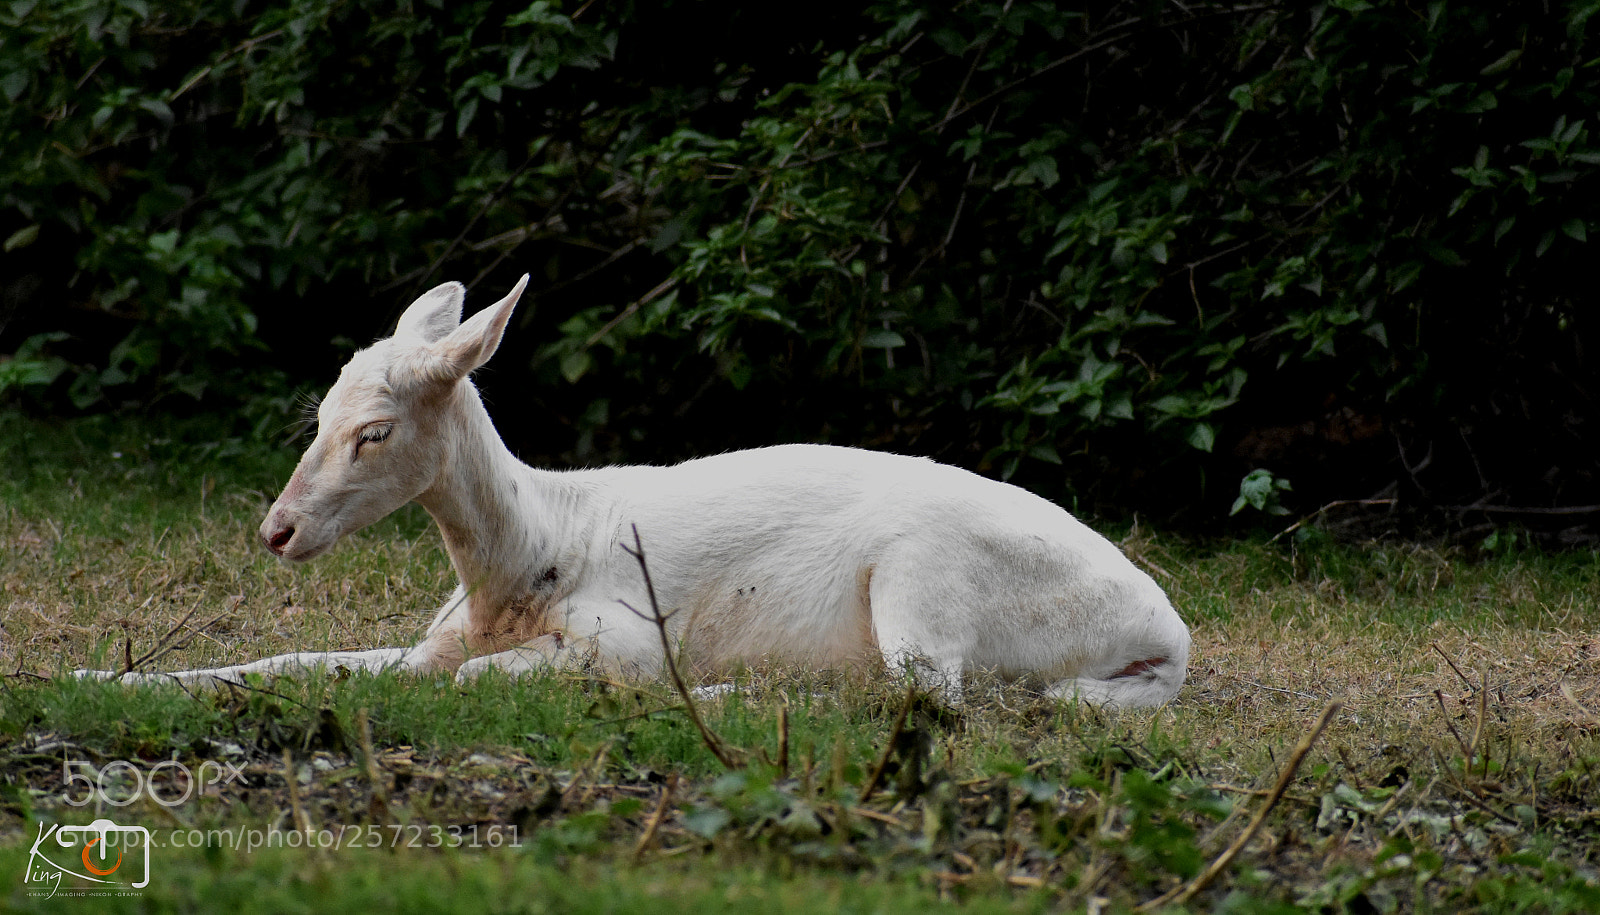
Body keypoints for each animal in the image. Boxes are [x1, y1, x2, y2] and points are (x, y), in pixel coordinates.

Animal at [76, 276, 1190, 707]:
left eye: (375, 430)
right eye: (317, 413)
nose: (277, 531)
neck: (523, 563)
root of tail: (1166, 638)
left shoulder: (625, 630)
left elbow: (474, 683)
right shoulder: (435, 634)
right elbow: (295, 658)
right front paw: (98, 677)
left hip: (928, 585)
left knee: (926, 693)